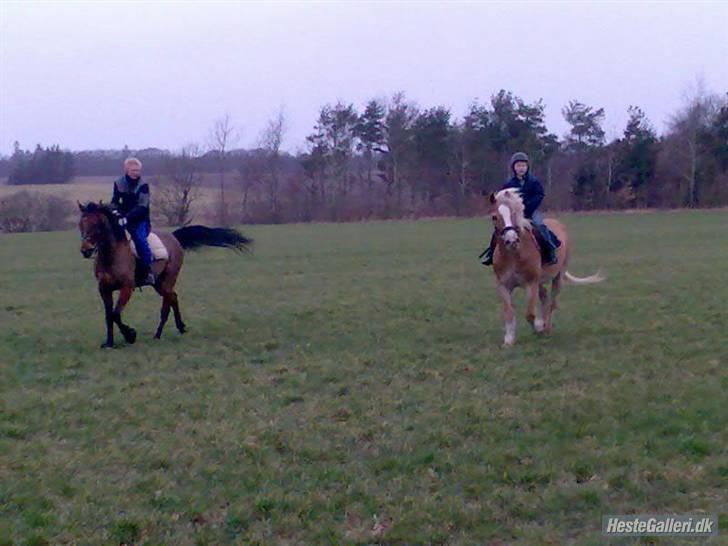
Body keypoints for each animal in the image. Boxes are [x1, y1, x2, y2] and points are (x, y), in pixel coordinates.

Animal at [78, 202, 252, 346]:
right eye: (81, 224)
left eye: (96, 224)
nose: (86, 250)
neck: (112, 255)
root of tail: (173, 236)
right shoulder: (104, 289)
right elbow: (109, 316)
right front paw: (109, 343)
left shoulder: (127, 288)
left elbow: (115, 314)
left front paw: (130, 335)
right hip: (158, 283)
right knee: (173, 297)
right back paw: (180, 327)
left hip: (167, 280)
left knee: (168, 303)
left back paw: (158, 334)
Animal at [490, 189, 604, 346]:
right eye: (494, 217)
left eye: (514, 213)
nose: (511, 240)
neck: (514, 254)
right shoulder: (503, 285)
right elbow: (508, 312)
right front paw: (509, 339)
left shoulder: (530, 283)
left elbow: (530, 314)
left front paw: (538, 327)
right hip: (540, 282)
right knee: (545, 299)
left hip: (557, 278)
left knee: (552, 303)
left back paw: (547, 328)